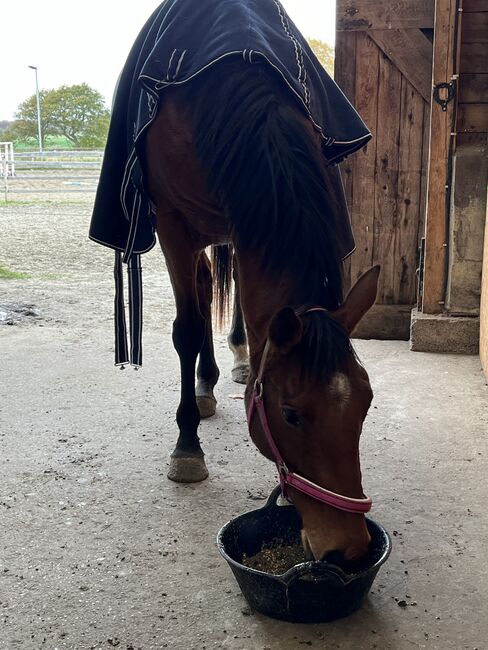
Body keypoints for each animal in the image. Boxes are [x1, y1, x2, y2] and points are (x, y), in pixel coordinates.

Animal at [139, 50, 380, 560]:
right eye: (290, 414)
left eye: (367, 403)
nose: (348, 548)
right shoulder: (173, 227)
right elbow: (187, 329)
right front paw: (186, 447)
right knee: (202, 294)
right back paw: (203, 391)